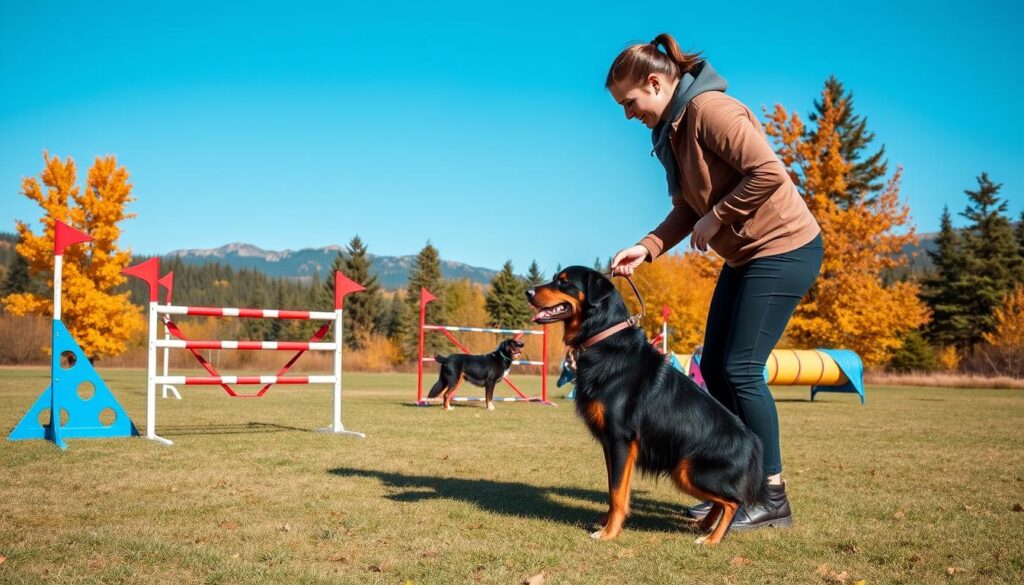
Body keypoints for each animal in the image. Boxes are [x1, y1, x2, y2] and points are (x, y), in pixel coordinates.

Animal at [528, 268, 770, 549]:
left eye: (564, 282)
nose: (528, 292)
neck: (604, 339)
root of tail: (754, 442)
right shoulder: (611, 444)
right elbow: (616, 489)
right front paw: (607, 523)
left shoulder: (620, 440)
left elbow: (616, 492)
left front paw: (609, 533)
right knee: (722, 502)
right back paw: (705, 525)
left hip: (687, 473)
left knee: (733, 501)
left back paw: (712, 538)